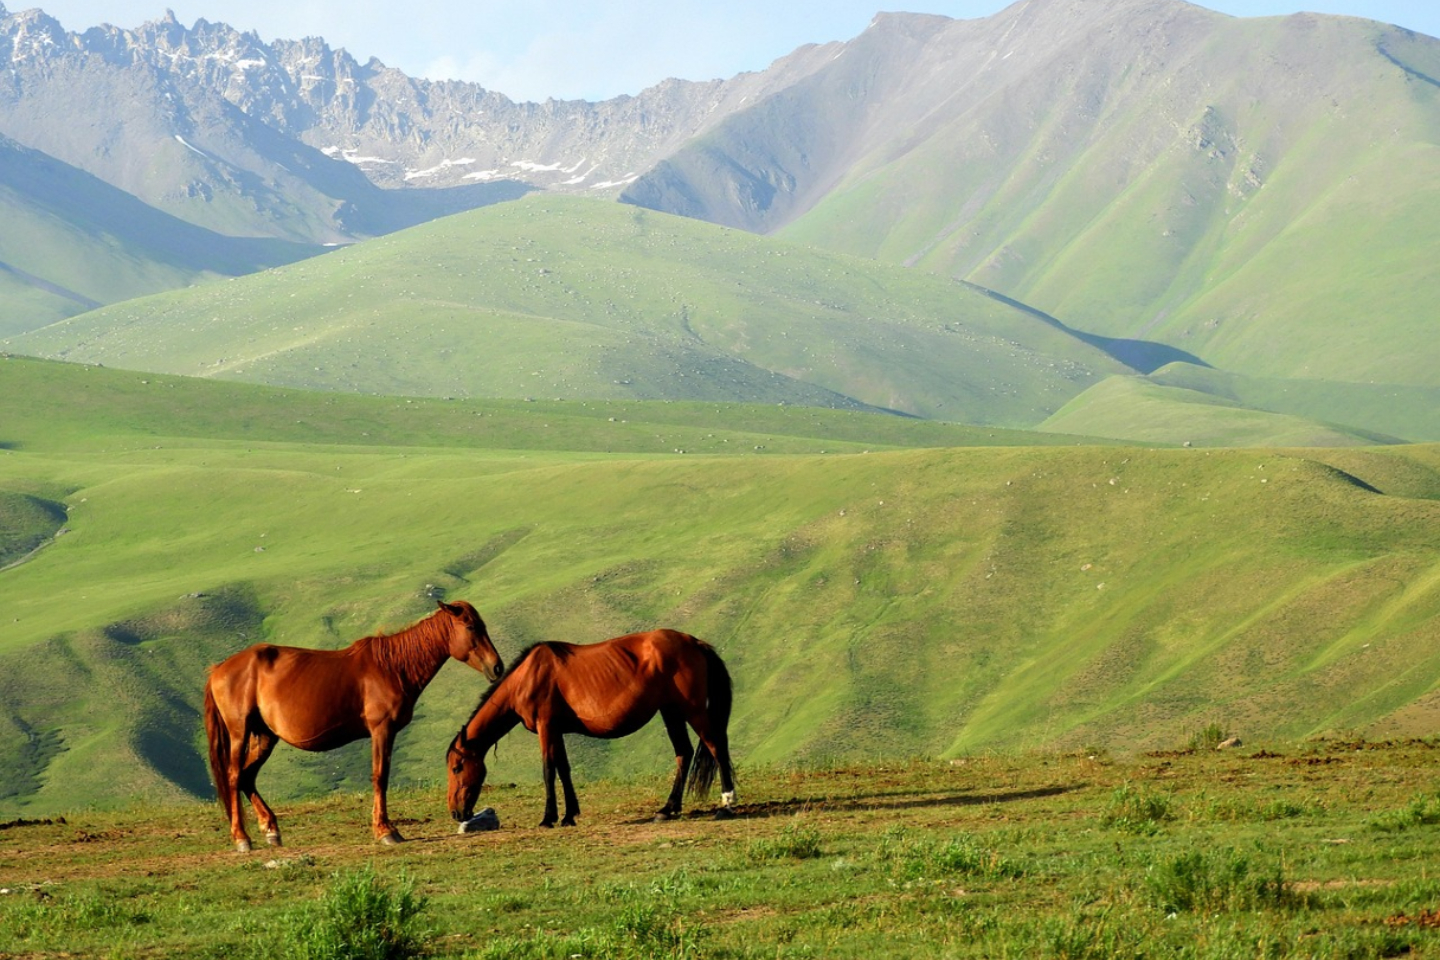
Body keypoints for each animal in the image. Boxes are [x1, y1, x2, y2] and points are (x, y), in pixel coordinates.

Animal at [204, 601, 501, 846]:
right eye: (471, 627)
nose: (497, 667)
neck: (393, 667)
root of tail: (219, 668)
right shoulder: (382, 730)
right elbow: (380, 776)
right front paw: (385, 831)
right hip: (240, 733)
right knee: (234, 776)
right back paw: (241, 838)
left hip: (265, 736)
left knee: (247, 776)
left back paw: (272, 830)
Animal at [443, 630, 737, 829]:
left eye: (457, 768)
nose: (456, 813)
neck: (527, 677)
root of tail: (694, 642)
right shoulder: (557, 731)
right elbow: (563, 769)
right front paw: (569, 815)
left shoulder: (546, 726)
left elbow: (548, 770)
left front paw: (548, 818)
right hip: (671, 711)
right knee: (684, 753)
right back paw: (668, 809)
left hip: (692, 710)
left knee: (716, 747)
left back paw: (726, 805)